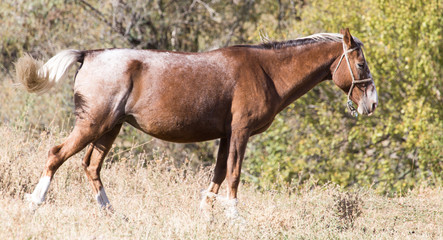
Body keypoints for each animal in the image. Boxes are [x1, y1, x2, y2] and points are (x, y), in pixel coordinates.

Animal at [17, 28, 378, 218]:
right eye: (360, 63)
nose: (372, 104)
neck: (266, 71)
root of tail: (89, 53)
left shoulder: (226, 134)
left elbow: (217, 174)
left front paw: (207, 213)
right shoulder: (241, 132)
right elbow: (234, 173)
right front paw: (234, 216)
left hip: (110, 128)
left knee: (91, 165)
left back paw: (110, 212)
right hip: (93, 124)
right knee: (56, 155)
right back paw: (36, 201)